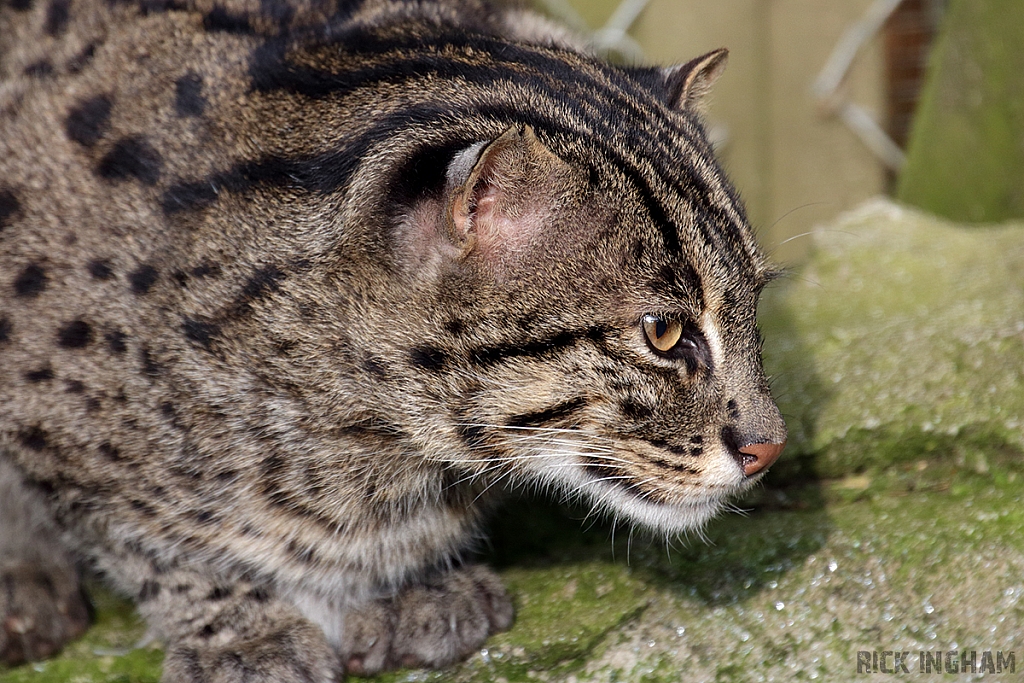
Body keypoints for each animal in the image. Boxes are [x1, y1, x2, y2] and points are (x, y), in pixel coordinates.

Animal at [0, 1, 786, 679]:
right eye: (664, 331)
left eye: (754, 301)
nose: (769, 449)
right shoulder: (58, 439)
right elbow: (149, 542)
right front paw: (241, 630)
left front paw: (409, 583)